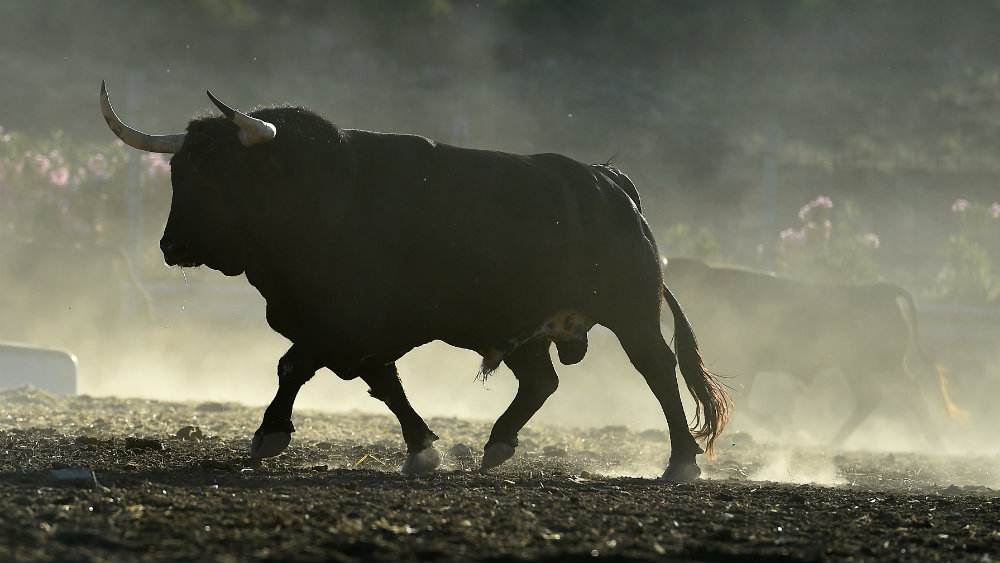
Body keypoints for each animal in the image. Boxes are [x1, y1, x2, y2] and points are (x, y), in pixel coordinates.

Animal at [99, 82, 730, 481]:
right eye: (179, 169)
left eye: (221, 172)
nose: (171, 247)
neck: (326, 195)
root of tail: (608, 182)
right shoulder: (362, 333)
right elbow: (384, 385)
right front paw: (423, 449)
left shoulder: (344, 318)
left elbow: (292, 365)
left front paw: (270, 433)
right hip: (523, 329)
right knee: (541, 381)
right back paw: (497, 444)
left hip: (631, 313)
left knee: (658, 370)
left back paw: (681, 462)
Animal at [661, 256, 963, 446]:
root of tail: (882, 290)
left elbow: (742, 401)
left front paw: (777, 427)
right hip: (858, 369)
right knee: (872, 397)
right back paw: (834, 440)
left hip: (879, 367)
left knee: (907, 390)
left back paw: (935, 441)